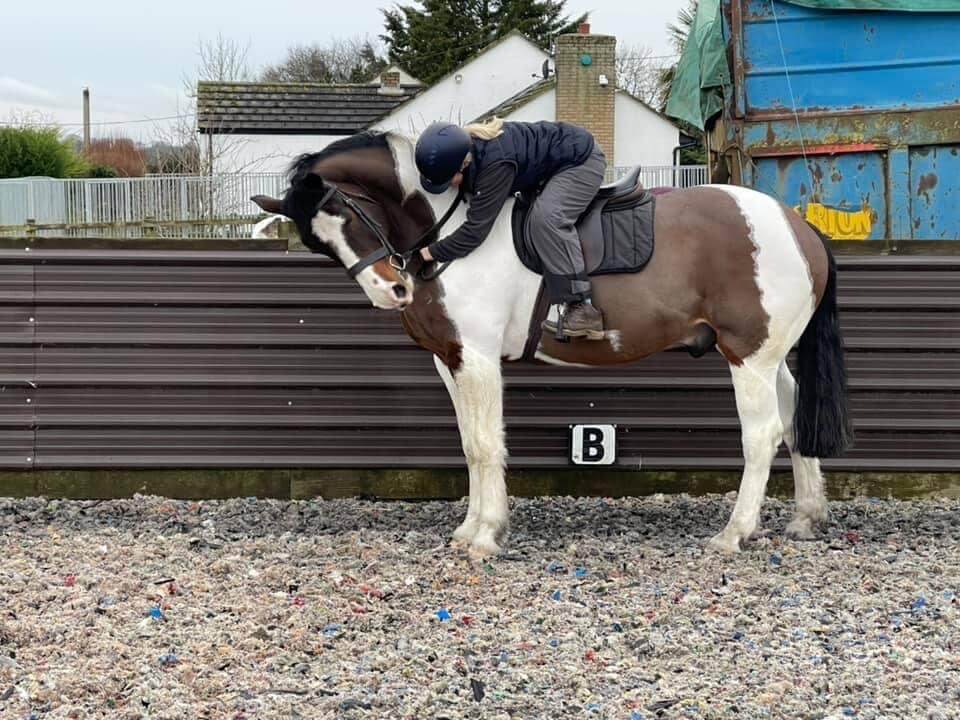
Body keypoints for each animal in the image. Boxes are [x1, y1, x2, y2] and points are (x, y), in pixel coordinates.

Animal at [251, 131, 852, 556]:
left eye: (346, 213)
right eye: (316, 242)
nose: (389, 292)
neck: (450, 231)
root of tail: (798, 226)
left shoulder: (478, 360)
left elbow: (485, 444)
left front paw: (486, 536)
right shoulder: (451, 361)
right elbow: (468, 444)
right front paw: (470, 528)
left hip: (748, 356)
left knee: (762, 435)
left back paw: (734, 533)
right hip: (770, 357)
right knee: (793, 420)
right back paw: (805, 517)